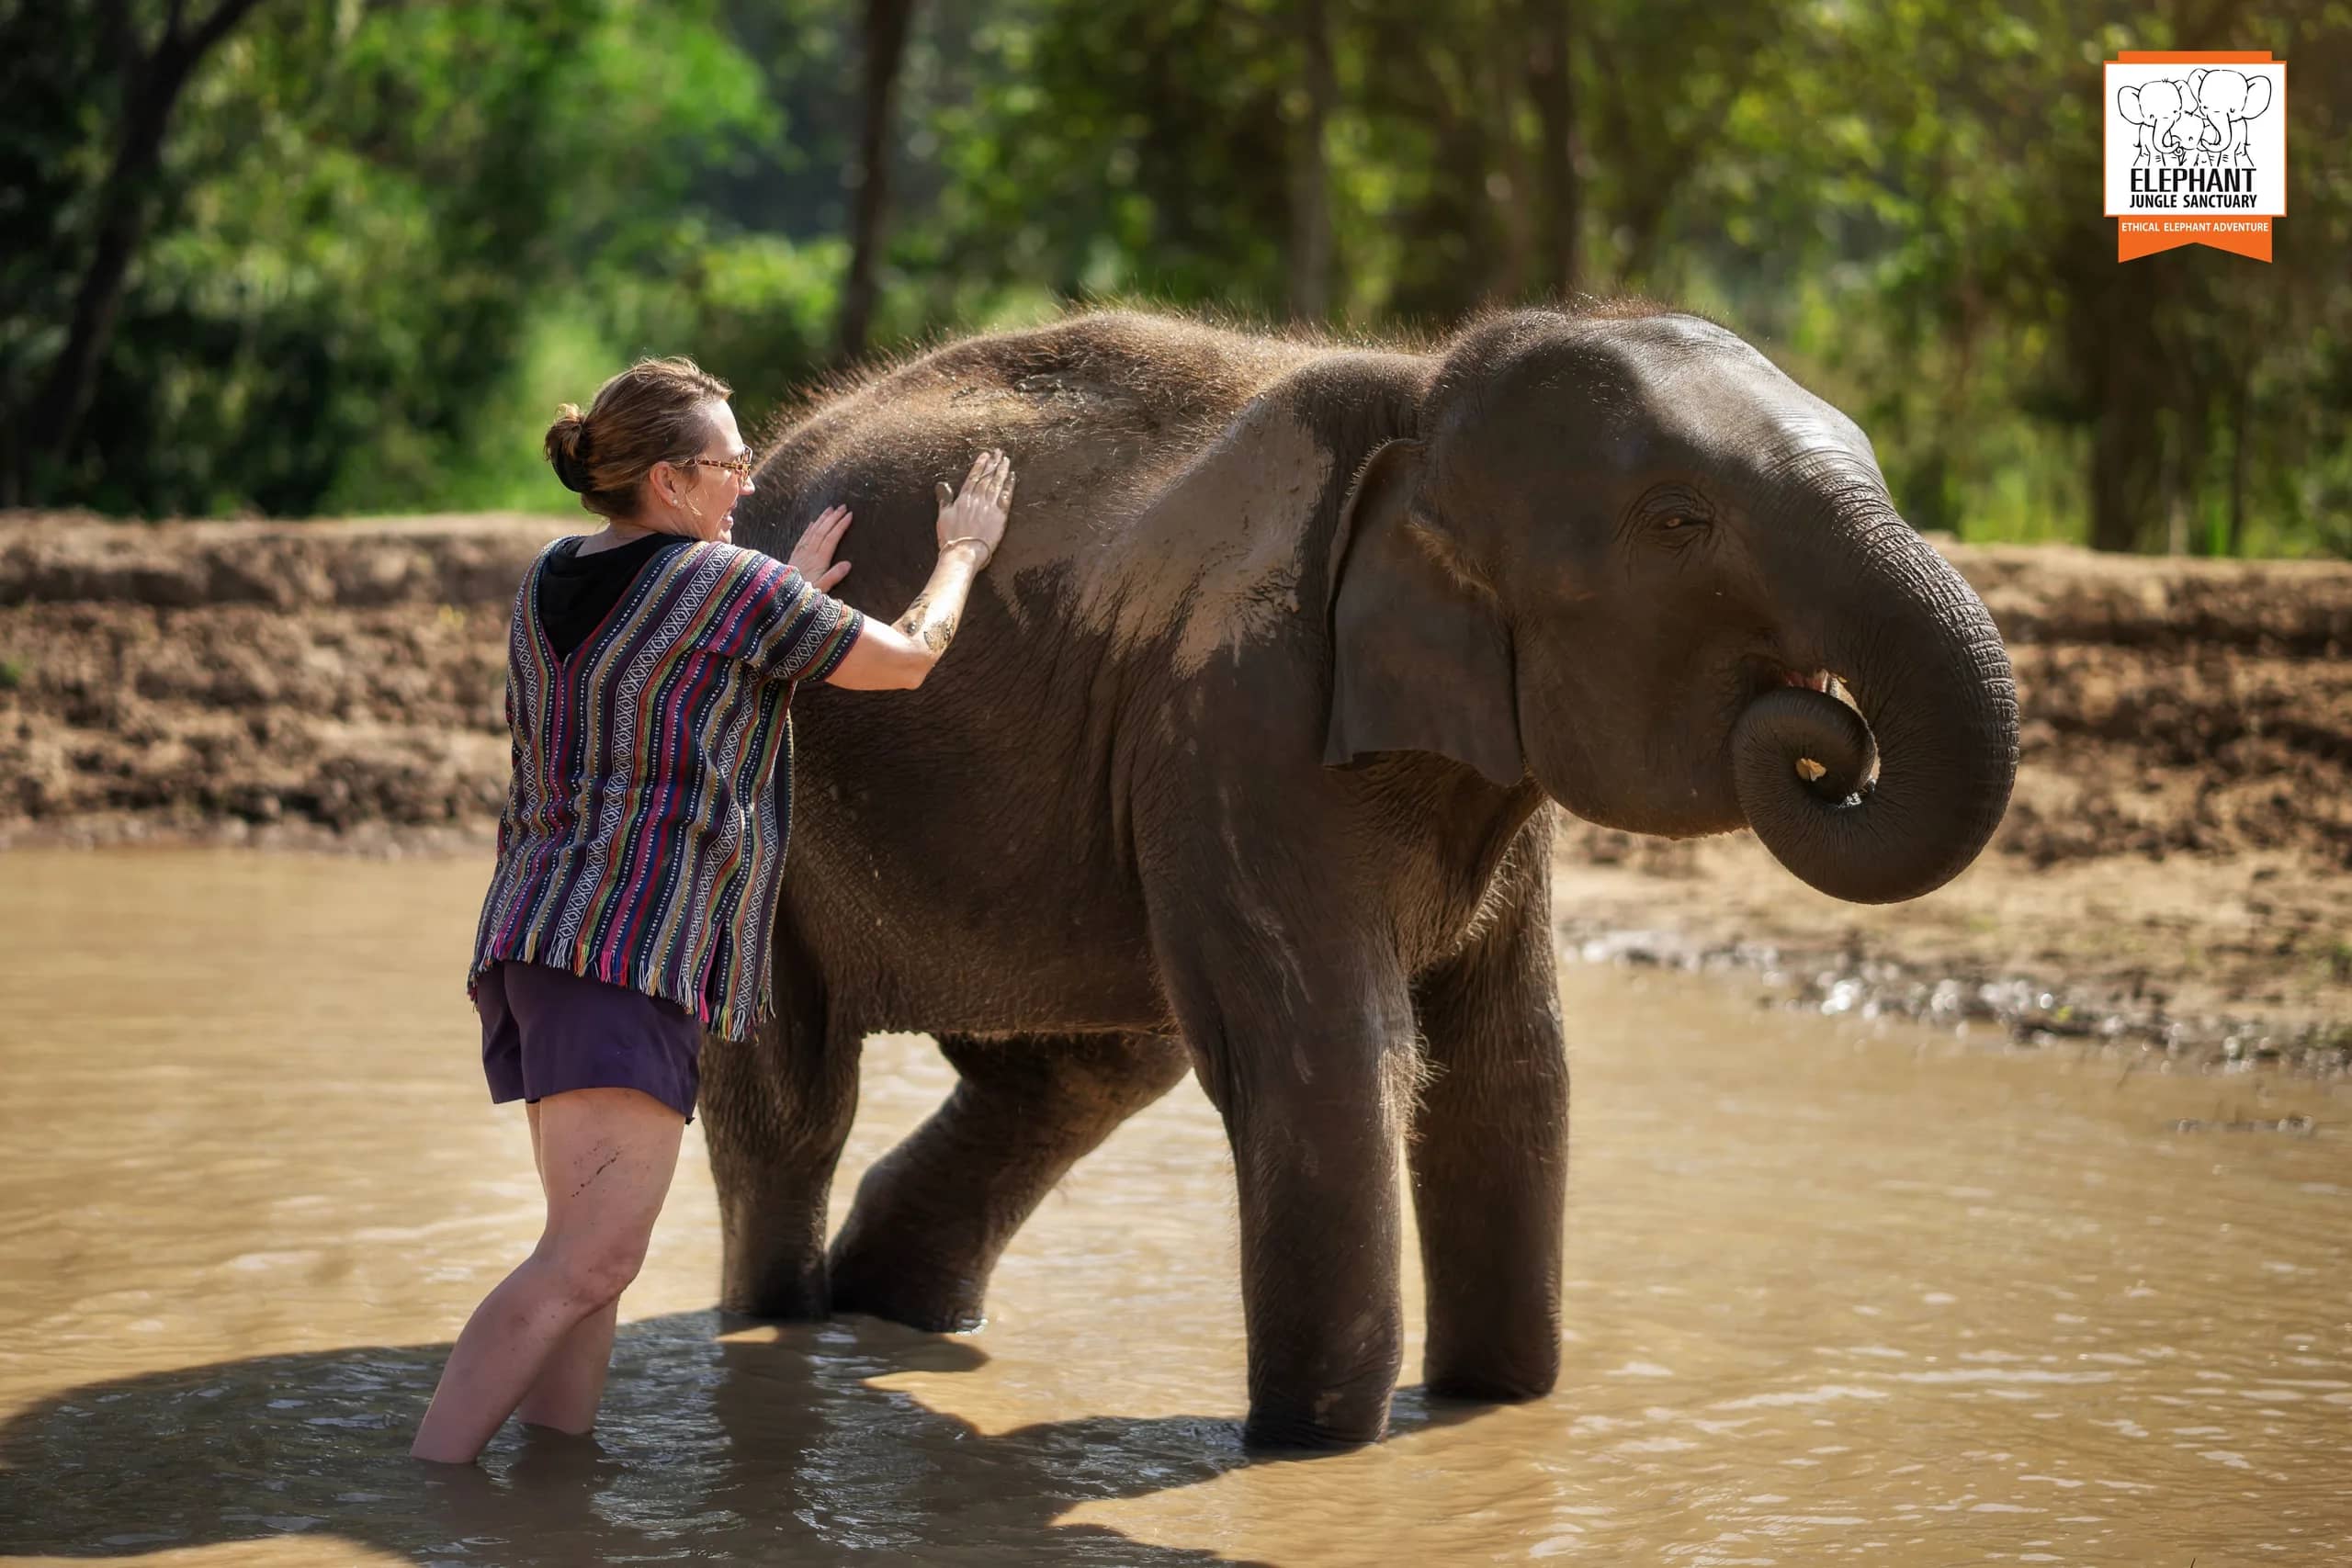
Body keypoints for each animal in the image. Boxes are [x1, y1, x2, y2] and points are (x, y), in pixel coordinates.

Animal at [714, 305, 2019, 1449]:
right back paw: (778, 1335)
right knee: (794, 1106)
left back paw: (889, 1314)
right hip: (763, 814)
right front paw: (1313, 1453)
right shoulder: (1237, 719)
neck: (1422, 395)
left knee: (1082, 1073)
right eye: (1677, 521)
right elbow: (1332, 1064)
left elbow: (1510, 1066)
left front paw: (1493, 1411)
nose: (1821, 734)